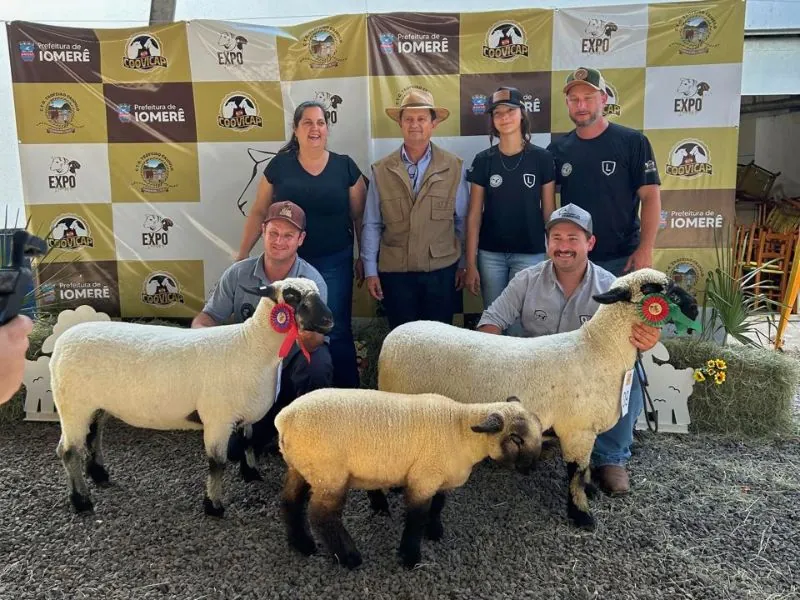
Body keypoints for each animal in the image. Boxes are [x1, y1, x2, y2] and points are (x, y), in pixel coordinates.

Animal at [49, 276, 332, 516]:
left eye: (318, 292)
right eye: (292, 295)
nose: (329, 320)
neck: (252, 347)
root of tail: (61, 342)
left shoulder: (244, 414)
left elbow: (248, 443)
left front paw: (251, 474)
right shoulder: (217, 420)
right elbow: (217, 463)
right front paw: (214, 506)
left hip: (95, 405)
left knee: (93, 436)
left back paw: (99, 475)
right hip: (72, 406)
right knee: (68, 451)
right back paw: (81, 501)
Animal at [378, 270, 696, 528]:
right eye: (655, 289)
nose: (694, 308)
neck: (598, 348)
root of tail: (394, 336)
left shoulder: (585, 431)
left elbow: (585, 469)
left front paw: (590, 491)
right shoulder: (577, 429)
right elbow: (576, 472)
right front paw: (582, 516)